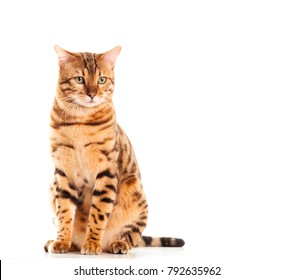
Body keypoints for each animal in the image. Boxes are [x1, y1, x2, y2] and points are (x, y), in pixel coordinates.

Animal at [44, 46, 184, 254]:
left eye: (102, 80)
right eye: (79, 79)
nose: (92, 94)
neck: (80, 120)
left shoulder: (107, 171)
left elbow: (98, 213)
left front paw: (92, 243)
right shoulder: (62, 172)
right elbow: (64, 213)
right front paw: (62, 241)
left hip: (134, 190)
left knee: (132, 235)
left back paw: (117, 244)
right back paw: (66, 243)